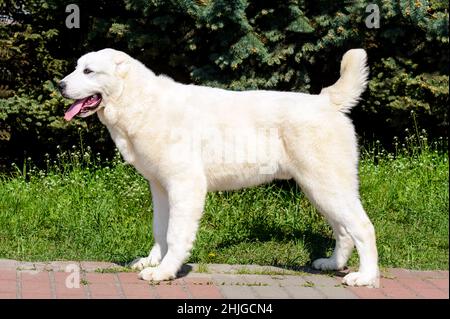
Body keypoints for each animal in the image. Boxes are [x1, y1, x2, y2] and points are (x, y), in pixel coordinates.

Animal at [58, 47, 378, 288]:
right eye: (76, 68)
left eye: (88, 71)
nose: (59, 85)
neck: (138, 100)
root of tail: (327, 101)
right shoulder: (160, 187)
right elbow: (160, 229)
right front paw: (152, 261)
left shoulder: (185, 184)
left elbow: (175, 234)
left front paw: (164, 271)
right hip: (317, 187)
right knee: (344, 230)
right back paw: (332, 264)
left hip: (327, 183)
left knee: (363, 227)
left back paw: (365, 277)